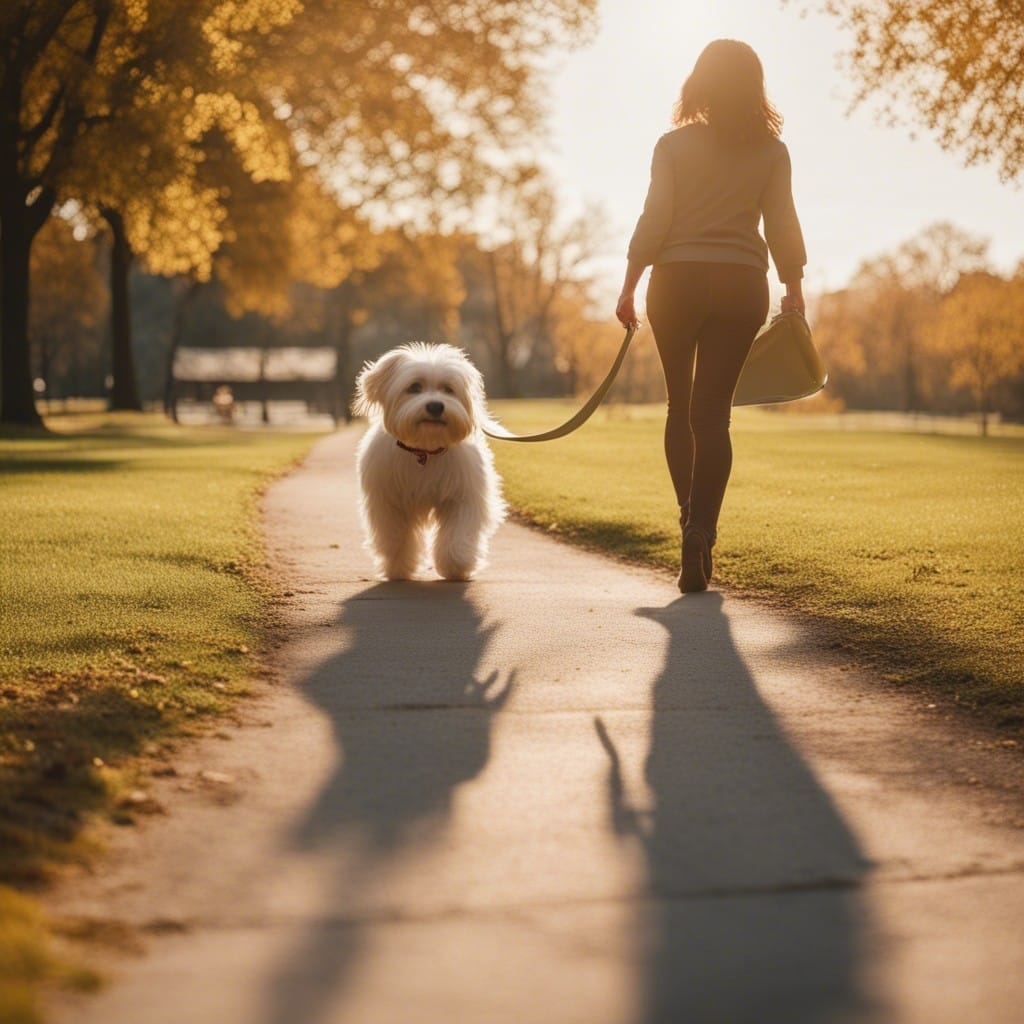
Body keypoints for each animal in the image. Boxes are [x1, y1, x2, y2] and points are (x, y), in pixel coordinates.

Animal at [354, 344, 505, 581]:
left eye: (448, 389)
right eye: (414, 387)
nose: (435, 406)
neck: (424, 450)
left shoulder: (462, 497)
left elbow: (458, 533)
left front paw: (456, 565)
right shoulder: (388, 502)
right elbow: (396, 537)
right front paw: (398, 567)